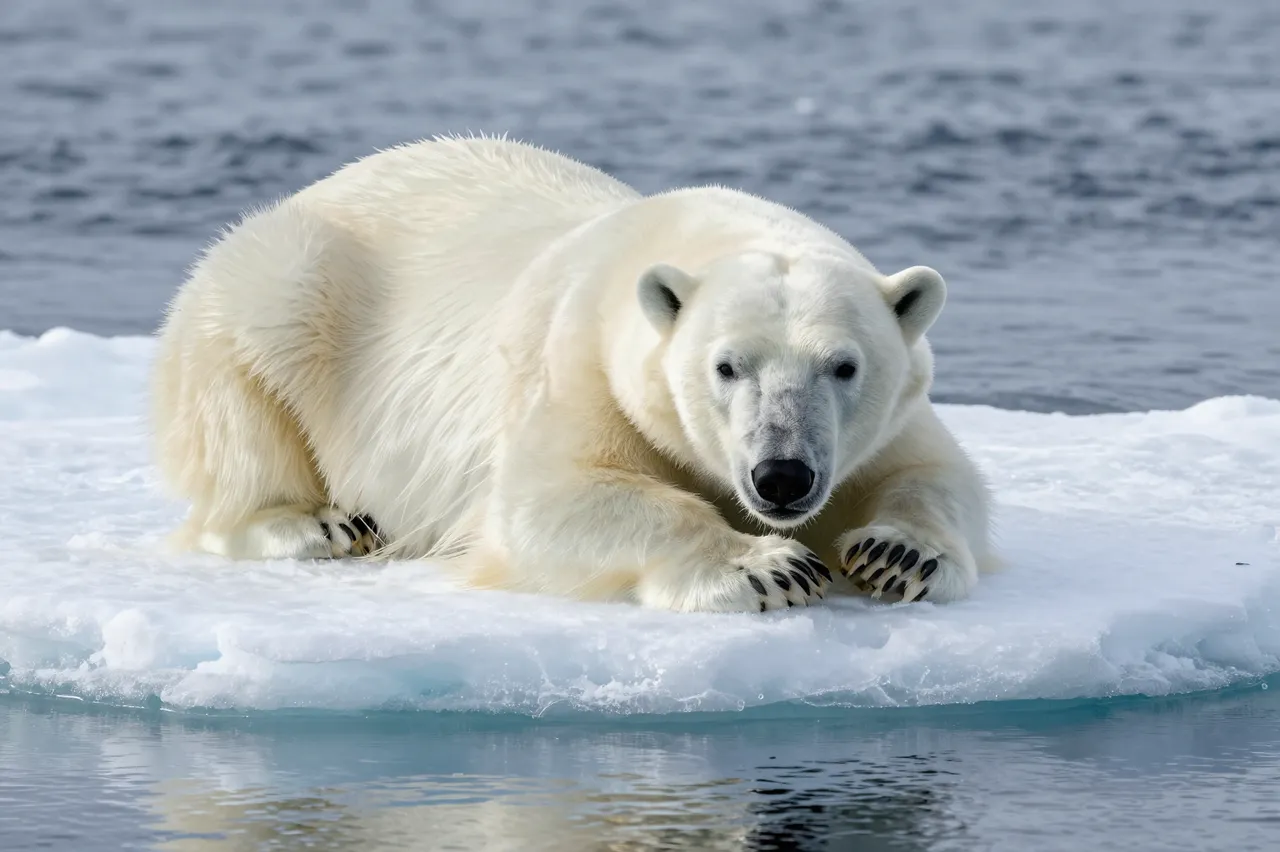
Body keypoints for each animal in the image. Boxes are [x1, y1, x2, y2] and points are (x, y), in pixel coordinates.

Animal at [151, 135, 996, 613]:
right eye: (727, 365)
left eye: (843, 366)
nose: (781, 475)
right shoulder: (578, 362)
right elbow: (548, 502)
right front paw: (769, 566)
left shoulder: (886, 422)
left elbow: (935, 473)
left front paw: (898, 554)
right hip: (281, 285)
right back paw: (323, 523)